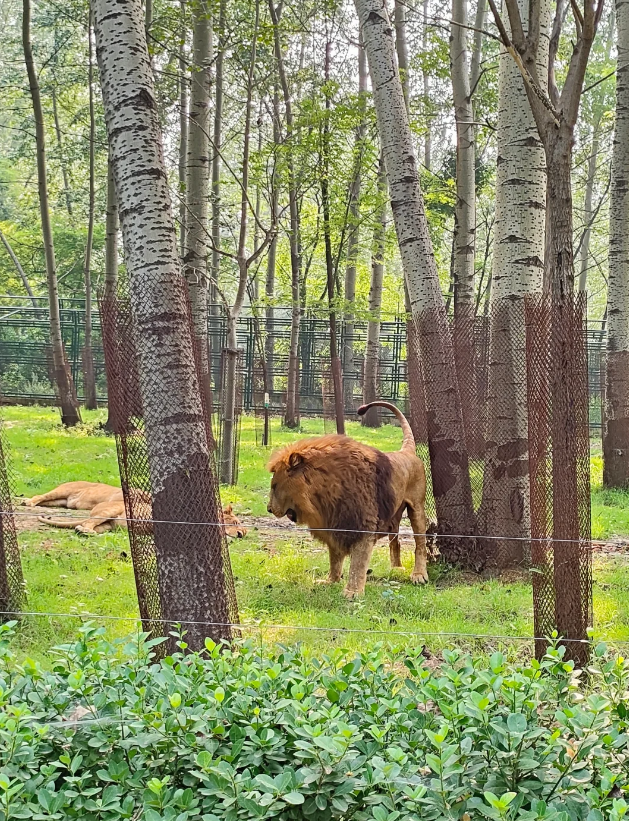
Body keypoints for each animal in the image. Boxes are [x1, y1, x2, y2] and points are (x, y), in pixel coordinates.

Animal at [264, 398, 426, 596]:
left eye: (275, 486)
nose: (268, 508)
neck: (323, 494)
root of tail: (407, 452)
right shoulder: (333, 522)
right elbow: (335, 558)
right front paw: (330, 581)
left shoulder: (362, 523)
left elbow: (358, 562)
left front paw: (353, 592)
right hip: (393, 517)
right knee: (395, 541)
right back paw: (396, 569)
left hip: (417, 508)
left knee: (420, 543)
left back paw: (419, 575)